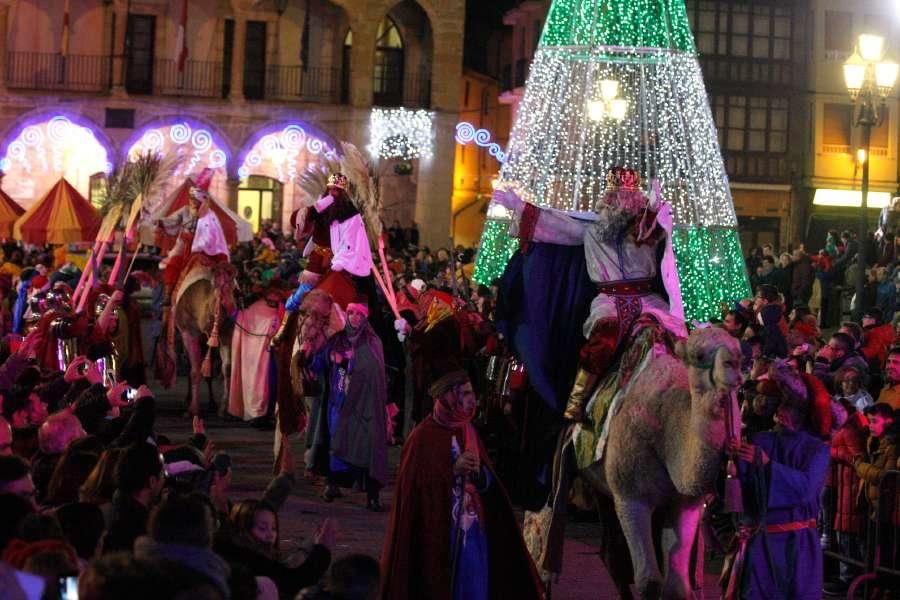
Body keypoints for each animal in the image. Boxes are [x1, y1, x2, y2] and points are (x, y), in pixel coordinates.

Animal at [171, 262, 237, 418]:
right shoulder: (188, 333)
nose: (232, 308)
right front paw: (193, 410)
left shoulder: (226, 333)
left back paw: (212, 403)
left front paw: (224, 409)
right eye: (219, 288)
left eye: (234, 287)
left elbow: (227, 368)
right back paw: (189, 400)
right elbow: (195, 370)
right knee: (191, 365)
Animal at [576, 326, 744, 596]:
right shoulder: (630, 498)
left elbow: (677, 584)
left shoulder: (684, 504)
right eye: (699, 355)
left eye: (740, 350)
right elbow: (649, 581)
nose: (734, 365)